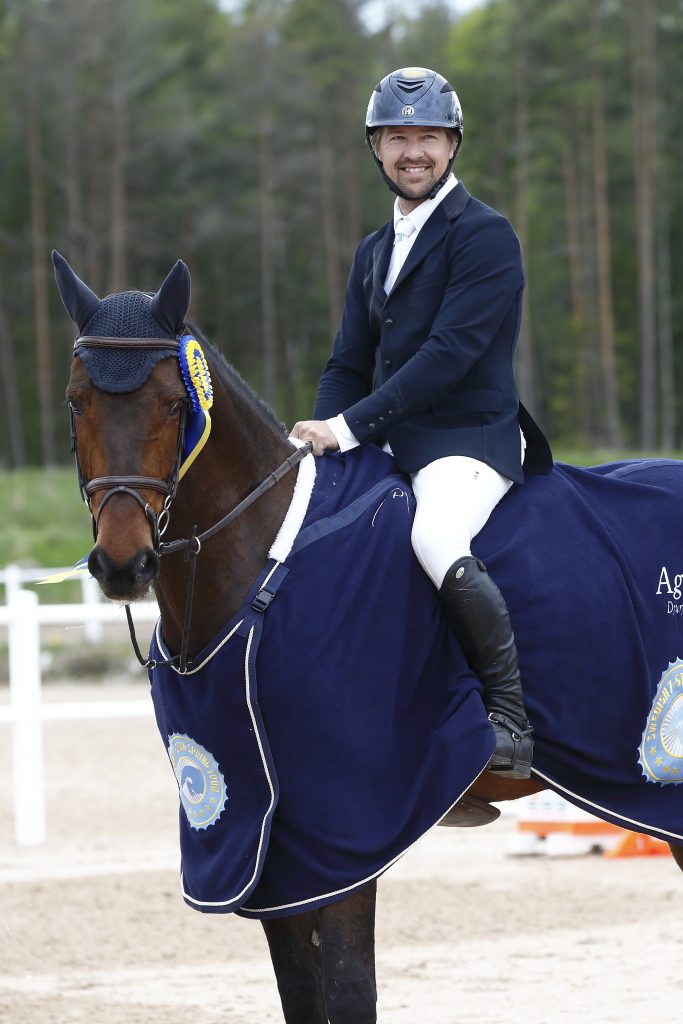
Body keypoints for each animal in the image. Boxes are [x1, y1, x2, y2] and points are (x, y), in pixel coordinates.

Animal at [53, 251, 683, 1023]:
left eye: (174, 404)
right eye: (76, 401)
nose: (123, 564)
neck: (264, 561)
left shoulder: (343, 829)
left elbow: (350, 991)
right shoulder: (263, 838)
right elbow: (301, 994)